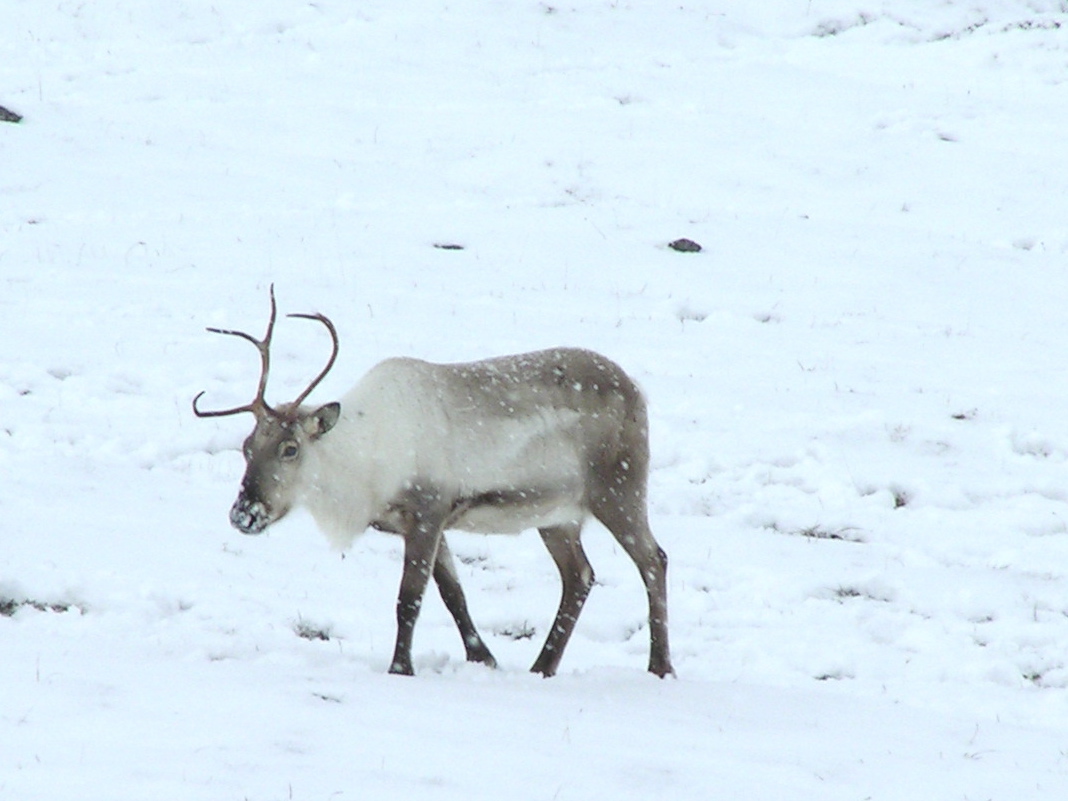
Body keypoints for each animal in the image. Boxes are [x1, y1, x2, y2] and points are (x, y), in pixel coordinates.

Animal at [194, 287, 673, 678]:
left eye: (290, 448)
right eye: (247, 446)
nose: (243, 513)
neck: (363, 466)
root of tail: (637, 389)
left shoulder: (428, 509)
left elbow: (410, 598)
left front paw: (400, 668)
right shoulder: (426, 521)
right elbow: (452, 593)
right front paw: (484, 658)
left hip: (618, 488)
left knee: (653, 559)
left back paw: (660, 666)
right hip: (556, 515)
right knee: (579, 576)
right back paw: (542, 667)